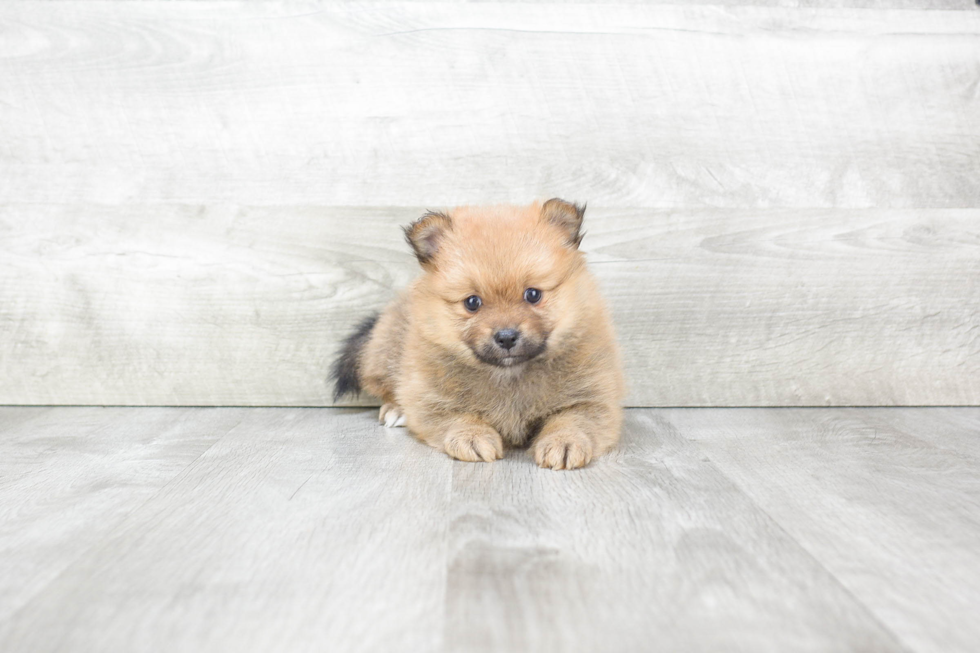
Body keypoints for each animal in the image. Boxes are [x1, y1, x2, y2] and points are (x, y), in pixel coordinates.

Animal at [334, 199, 624, 468]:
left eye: (533, 294)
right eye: (472, 302)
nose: (506, 337)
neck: (509, 375)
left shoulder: (593, 397)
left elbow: (573, 419)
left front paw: (564, 442)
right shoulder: (429, 398)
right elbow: (457, 417)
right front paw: (472, 437)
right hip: (385, 351)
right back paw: (395, 410)